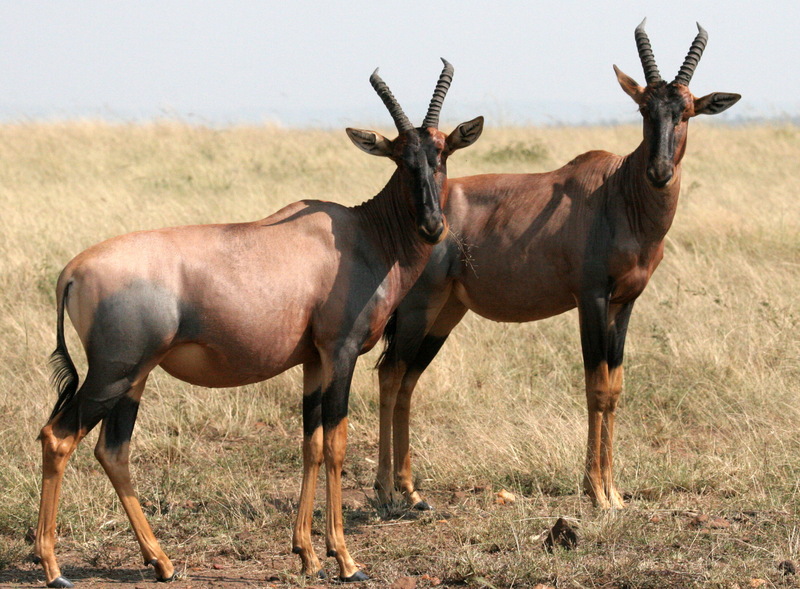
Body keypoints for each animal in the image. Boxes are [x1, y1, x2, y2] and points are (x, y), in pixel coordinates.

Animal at [34, 57, 484, 584]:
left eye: (441, 153)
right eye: (398, 157)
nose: (433, 226)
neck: (358, 235)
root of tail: (71, 271)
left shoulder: (313, 361)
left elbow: (311, 444)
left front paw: (307, 554)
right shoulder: (341, 353)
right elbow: (337, 444)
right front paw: (346, 561)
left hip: (134, 377)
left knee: (113, 449)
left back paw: (161, 562)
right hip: (113, 373)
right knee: (58, 438)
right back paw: (53, 567)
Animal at [378, 20, 740, 510]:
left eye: (685, 112)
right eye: (644, 108)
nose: (660, 172)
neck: (617, 192)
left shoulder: (625, 302)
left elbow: (616, 389)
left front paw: (615, 493)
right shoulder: (591, 298)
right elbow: (596, 387)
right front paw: (597, 492)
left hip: (446, 312)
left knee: (408, 381)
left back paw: (410, 489)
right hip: (419, 307)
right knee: (391, 375)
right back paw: (386, 491)